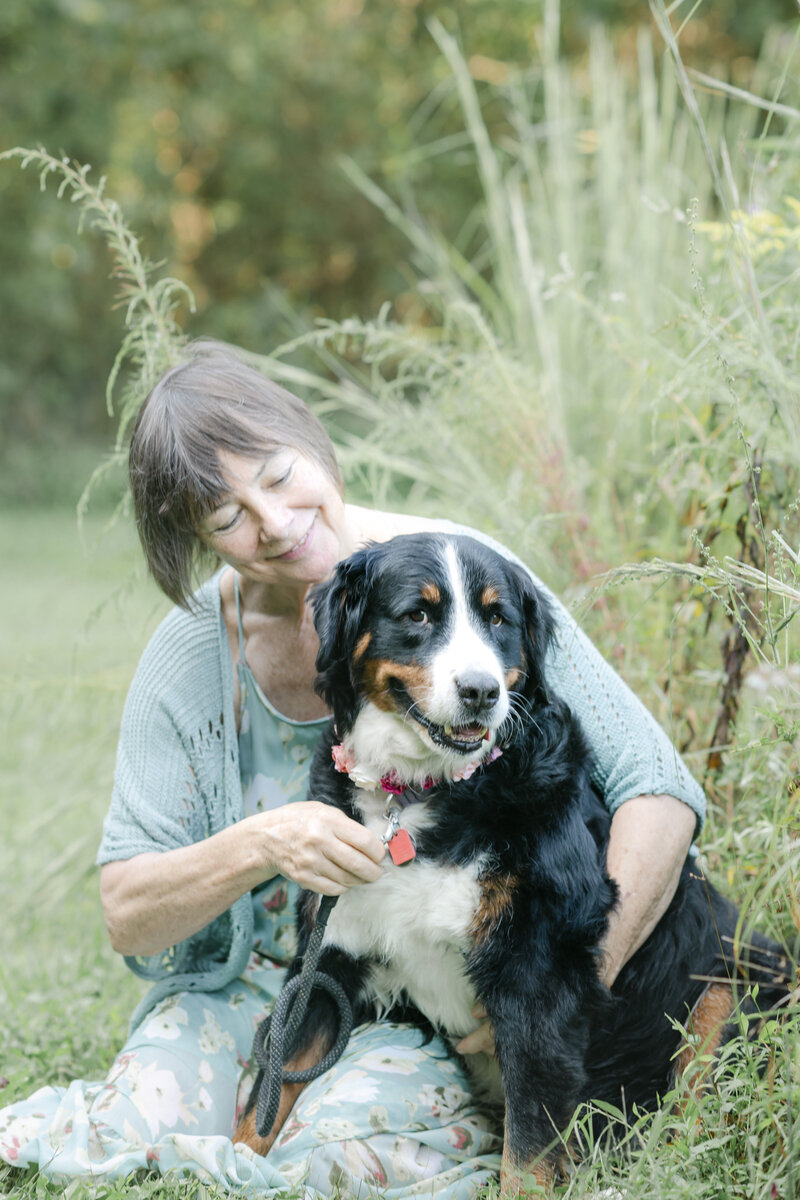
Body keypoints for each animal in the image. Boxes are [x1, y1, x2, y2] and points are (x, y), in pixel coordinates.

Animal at [232, 532, 796, 1190]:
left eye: (497, 619)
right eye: (417, 615)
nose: (481, 691)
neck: (420, 795)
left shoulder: (537, 978)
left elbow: (527, 1153)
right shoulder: (329, 957)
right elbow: (264, 1103)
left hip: (726, 989)